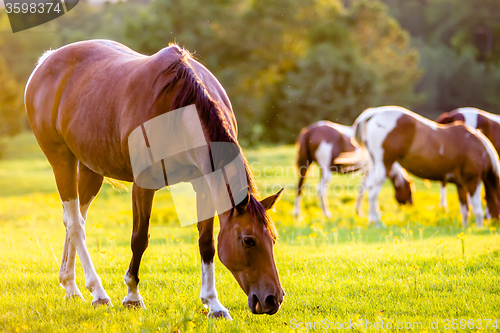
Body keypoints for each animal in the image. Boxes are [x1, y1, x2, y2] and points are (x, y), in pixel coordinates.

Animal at [25, 40, 286, 318]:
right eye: (248, 240)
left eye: (272, 239)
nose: (273, 299)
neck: (179, 110)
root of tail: (46, 61)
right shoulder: (143, 184)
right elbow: (139, 238)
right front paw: (132, 295)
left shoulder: (203, 184)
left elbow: (206, 243)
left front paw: (213, 303)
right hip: (61, 160)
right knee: (75, 224)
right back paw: (98, 292)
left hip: (90, 169)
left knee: (74, 220)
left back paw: (71, 287)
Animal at [342, 105, 500, 227]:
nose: (494, 223)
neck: (480, 147)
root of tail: (374, 113)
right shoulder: (473, 180)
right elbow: (477, 208)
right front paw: (478, 228)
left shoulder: (461, 184)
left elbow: (465, 209)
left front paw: (466, 227)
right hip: (384, 164)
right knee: (373, 190)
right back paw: (376, 222)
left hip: (376, 164)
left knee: (367, 187)